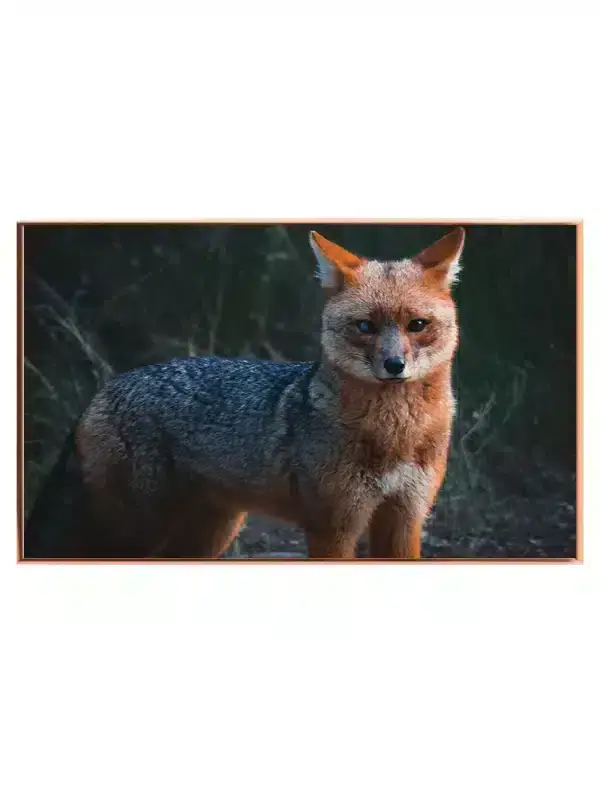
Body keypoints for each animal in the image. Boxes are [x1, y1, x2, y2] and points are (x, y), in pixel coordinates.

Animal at [24, 226, 465, 560]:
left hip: (208, 535)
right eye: (365, 327)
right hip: (135, 532)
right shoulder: (332, 527)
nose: (394, 365)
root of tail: (105, 388)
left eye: (417, 325)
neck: (395, 435)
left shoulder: (405, 520)